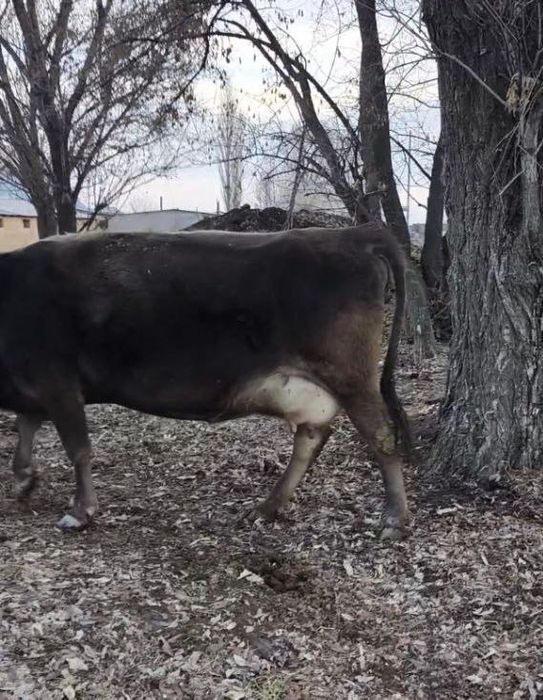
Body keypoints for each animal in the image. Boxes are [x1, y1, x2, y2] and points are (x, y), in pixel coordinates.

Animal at [0, 224, 411, 537]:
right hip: (306, 389)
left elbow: (77, 449)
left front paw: (80, 511)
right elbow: (25, 428)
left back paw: (395, 517)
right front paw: (24, 478)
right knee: (311, 437)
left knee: (380, 434)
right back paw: (267, 507)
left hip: (350, 375)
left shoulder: (58, 382)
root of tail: (352, 233)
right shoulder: (33, 387)